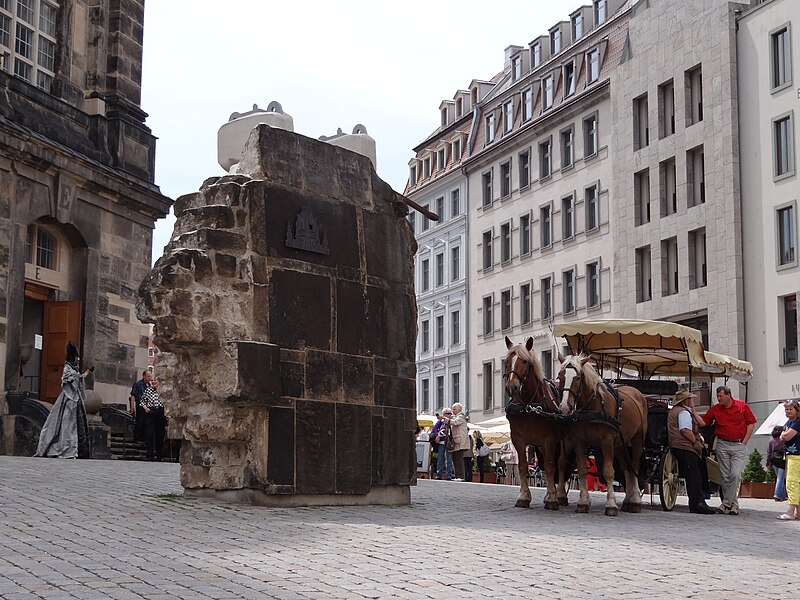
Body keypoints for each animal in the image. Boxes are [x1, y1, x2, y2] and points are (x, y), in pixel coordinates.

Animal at [506, 336, 568, 508]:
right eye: (507, 361)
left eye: (525, 361)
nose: (512, 387)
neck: (530, 405)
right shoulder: (518, 439)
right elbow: (523, 467)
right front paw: (523, 497)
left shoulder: (549, 439)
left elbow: (550, 467)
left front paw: (553, 499)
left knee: (560, 464)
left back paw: (559, 495)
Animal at [556, 352, 648, 516]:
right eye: (560, 376)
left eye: (578, 377)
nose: (565, 407)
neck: (592, 407)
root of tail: (636, 391)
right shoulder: (579, 441)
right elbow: (582, 470)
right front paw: (583, 502)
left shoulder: (607, 441)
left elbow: (608, 472)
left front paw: (611, 504)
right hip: (620, 444)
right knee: (627, 468)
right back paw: (627, 500)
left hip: (637, 439)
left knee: (635, 466)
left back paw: (635, 501)